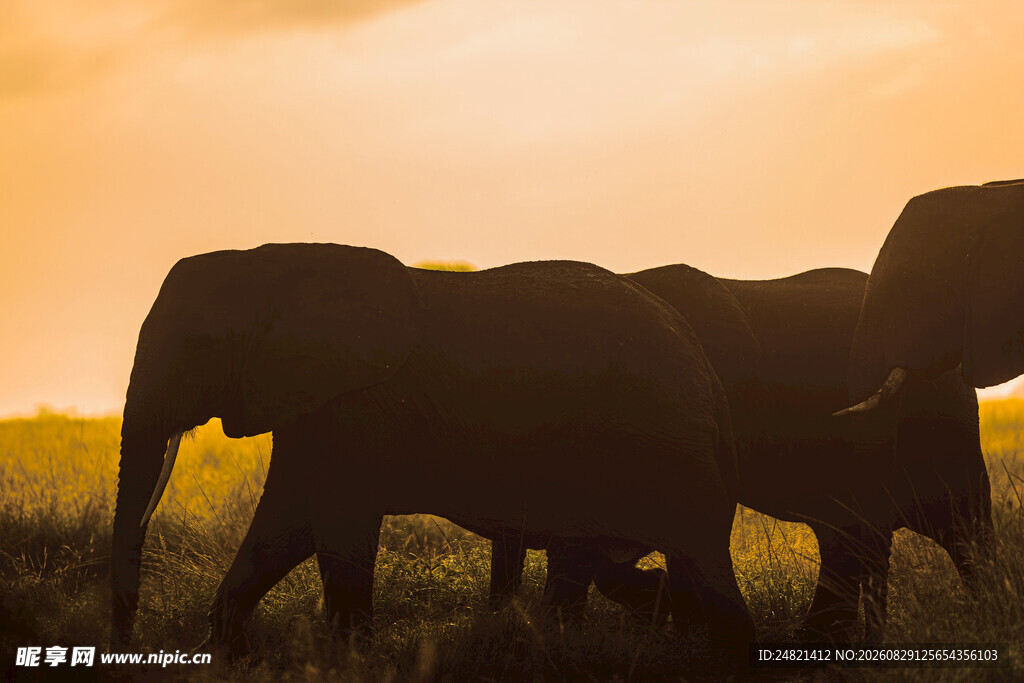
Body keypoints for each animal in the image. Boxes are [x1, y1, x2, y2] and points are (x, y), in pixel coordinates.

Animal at [109, 243, 755, 659]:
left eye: (196, 346)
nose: (126, 648)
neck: (268, 261)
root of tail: (705, 369)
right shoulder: (314, 398)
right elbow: (284, 525)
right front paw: (222, 654)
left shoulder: (355, 402)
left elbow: (333, 522)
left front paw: (351, 662)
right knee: (594, 558)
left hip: (667, 445)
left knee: (698, 557)